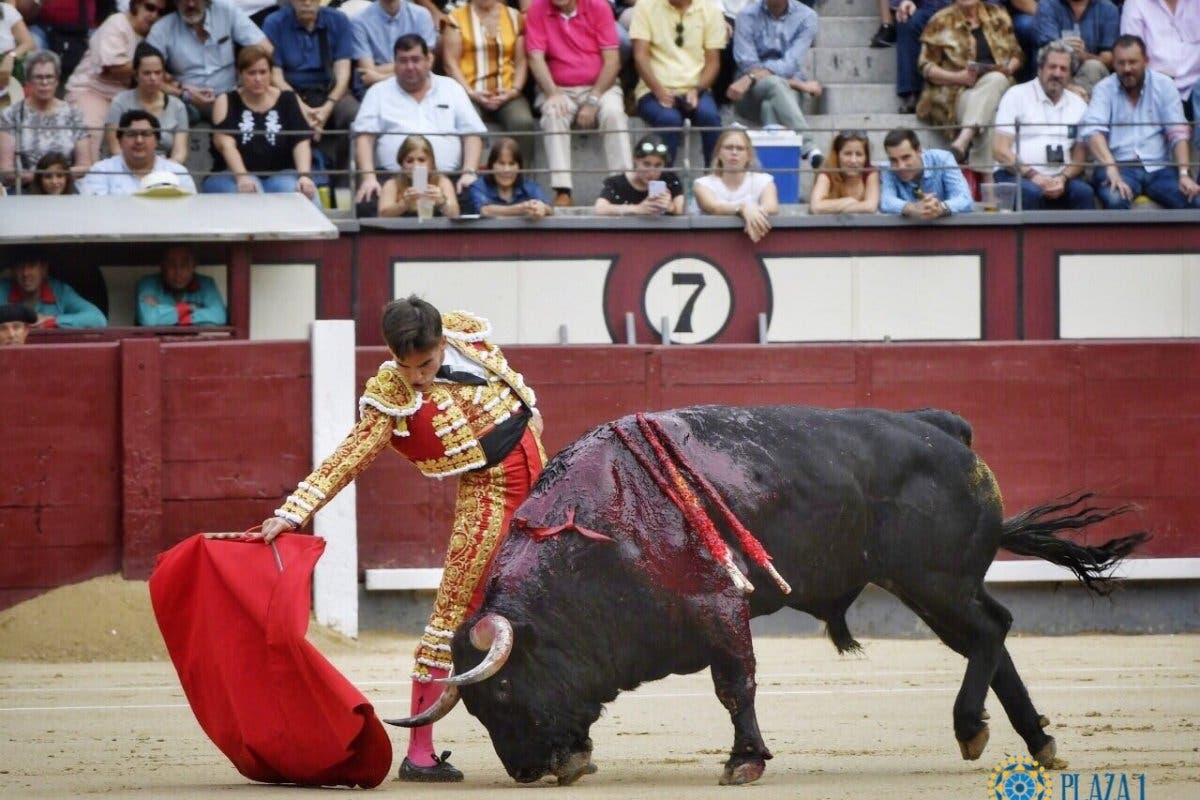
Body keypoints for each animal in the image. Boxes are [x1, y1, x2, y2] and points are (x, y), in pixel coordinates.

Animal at [388, 410, 1147, 786]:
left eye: (502, 693)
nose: (524, 771)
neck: (597, 531)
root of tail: (948, 432)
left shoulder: (720, 610)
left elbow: (736, 686)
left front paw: (745, 761)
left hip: (936, 580)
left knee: (993, 630)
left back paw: (970, 728)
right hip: (934, 587)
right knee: (991, 638)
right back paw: (1037, 742)